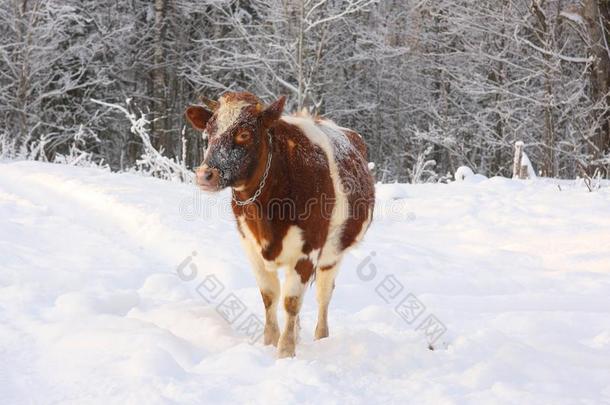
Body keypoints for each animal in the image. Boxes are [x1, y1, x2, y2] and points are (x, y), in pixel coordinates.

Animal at [185, 92, 372, 356]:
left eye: (244, 133)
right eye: (208, 132)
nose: (204, 175)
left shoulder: (309, 250)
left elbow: (291, 301)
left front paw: (285, 351)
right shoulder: (250, 246)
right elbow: (270, 296)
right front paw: (270, 341)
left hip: (333, 254)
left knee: (323, 296)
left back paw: (320, 336)